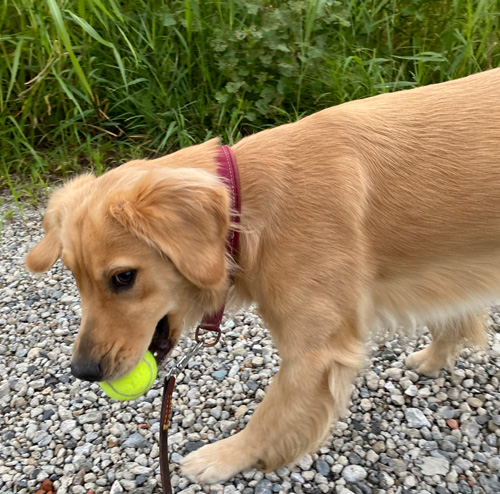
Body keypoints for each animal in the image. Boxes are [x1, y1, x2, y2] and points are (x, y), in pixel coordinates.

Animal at [26, 68, 500, 482]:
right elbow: (455, 314)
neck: (246, 207)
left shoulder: (316, 352)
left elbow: (270, 414)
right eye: (74, 276)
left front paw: (223, 458)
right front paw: (435, 357)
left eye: (123, 277)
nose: (83, 371)